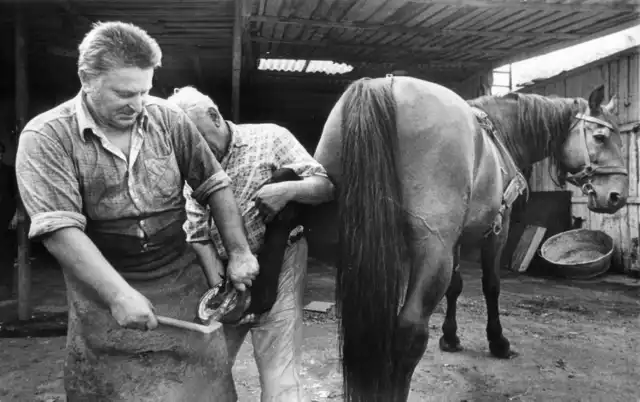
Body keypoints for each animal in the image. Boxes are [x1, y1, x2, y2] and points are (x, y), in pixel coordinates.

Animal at [312, 76, 628, 402]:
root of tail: (380, 86)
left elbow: (456, 286)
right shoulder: (496, 232)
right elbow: (491, 286)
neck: (501, 135)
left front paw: (450, 337)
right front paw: (498, 342)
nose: (616, 196)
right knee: (410, 332)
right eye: (601, 137)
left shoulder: (456, 240)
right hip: (432, 253)